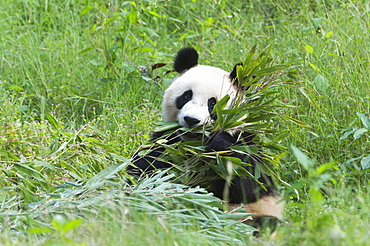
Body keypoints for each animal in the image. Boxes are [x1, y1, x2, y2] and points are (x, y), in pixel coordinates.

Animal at [129, 48, 284, 231]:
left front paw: (220, 144)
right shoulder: (165, 141)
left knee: (266, 223)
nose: (191, 120)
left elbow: (251, 184)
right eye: (186, 96)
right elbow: (143, 168)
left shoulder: (246, 142)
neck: (193, 145)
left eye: (213, 104)